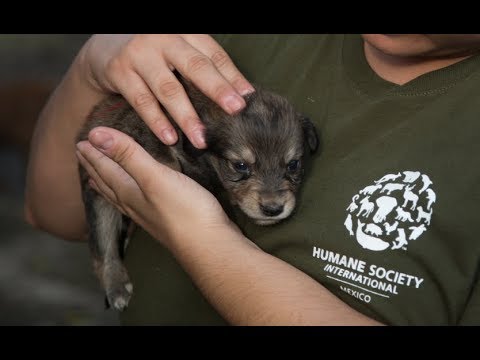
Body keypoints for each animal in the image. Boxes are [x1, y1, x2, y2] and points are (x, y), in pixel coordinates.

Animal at [77, 77, 318, 310]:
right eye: (240, 166)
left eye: (293, 165)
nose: (272, 208)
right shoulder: (150, 133)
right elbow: (167, 157)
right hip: (96, 199)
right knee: (102, 247)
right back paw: (117, 287)